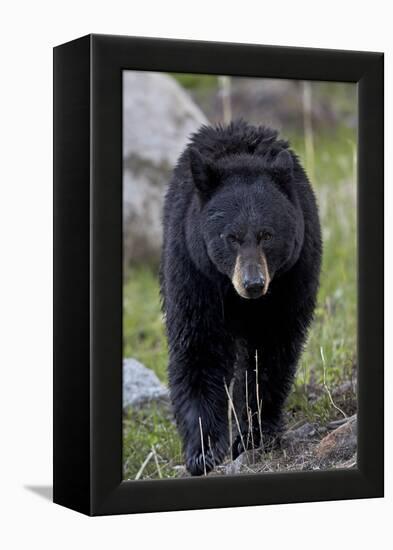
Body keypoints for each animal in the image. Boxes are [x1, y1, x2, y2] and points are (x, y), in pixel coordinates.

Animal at [159, 122, 322, 478]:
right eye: (230, 237)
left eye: (267, 235)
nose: (253, 284)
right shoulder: (193, 271)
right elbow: (199, 346)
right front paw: (203, 450)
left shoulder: (291, 278)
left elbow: (270, 352)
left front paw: (253, 435)